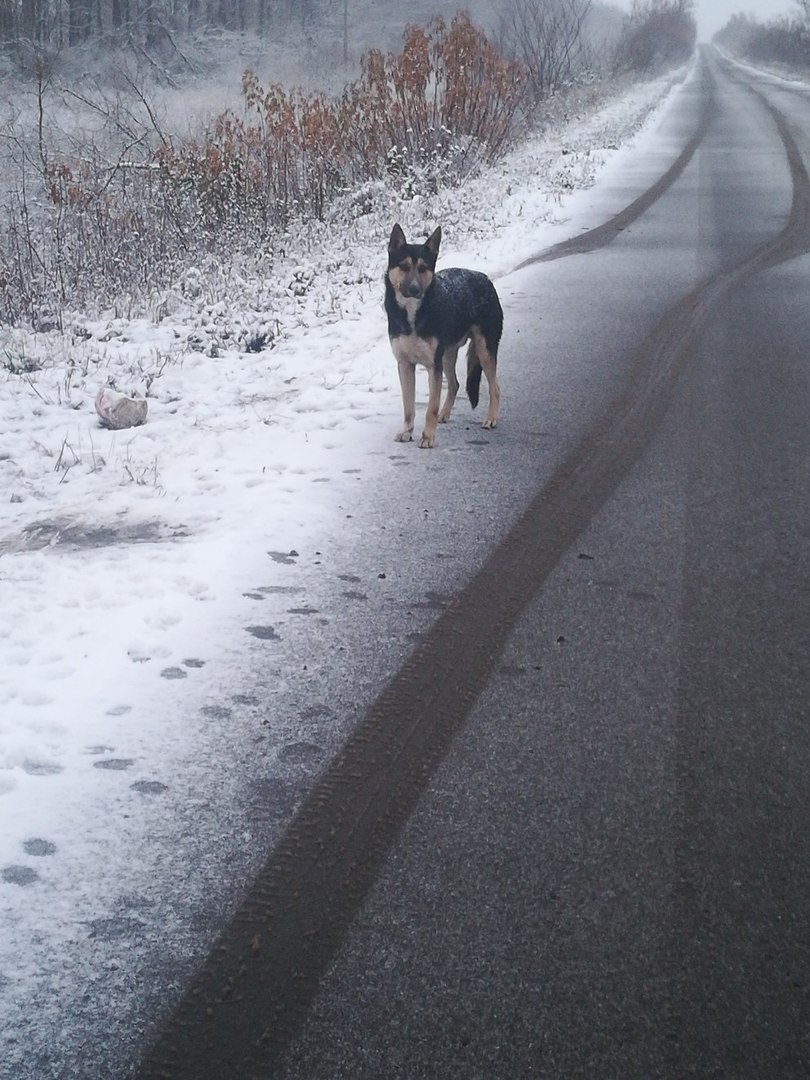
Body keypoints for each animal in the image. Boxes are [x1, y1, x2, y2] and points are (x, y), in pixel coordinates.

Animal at [384, 223, 501, 447]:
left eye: (423, 268)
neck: (413, 313)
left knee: (495, 387)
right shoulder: (405, 365)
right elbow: (408, 406)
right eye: (404, 267)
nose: (414, 289)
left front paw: (428, 436)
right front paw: (407, 431)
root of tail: (484, 278)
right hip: (447, 355)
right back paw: (444, 414)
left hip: (484, 350)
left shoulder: (432, 366)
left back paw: (491, 418)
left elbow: (430, 407)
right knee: (455, 384)